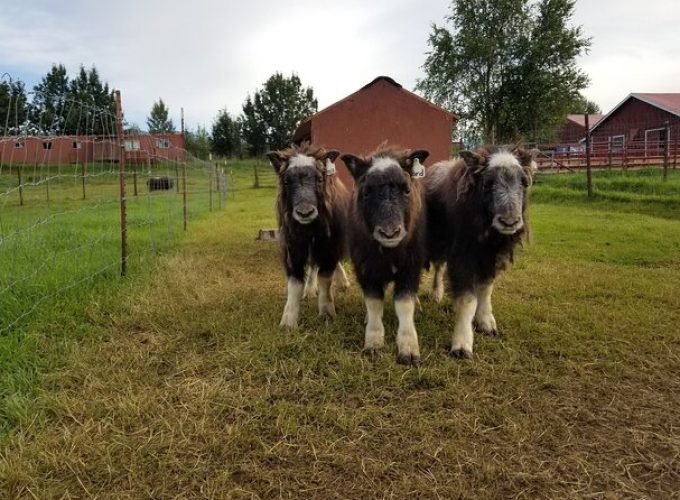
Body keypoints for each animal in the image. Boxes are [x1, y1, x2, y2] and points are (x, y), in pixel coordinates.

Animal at [266, 142, 350, 328]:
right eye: (287, 181)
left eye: (319, 179)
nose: (305, 212)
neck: (309, 229)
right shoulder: (293, 250)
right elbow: (294, 284)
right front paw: (288, 322)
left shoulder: (329, 248)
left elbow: (325, 279)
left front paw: (327, 313)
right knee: (312, 267)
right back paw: (310, 291)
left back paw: (343, 284)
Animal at [340, 145, 430, 364]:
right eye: (366, 191)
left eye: (406, 189)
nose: (390, 233)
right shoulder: (365, 269)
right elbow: (374, 303)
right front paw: (373, 343)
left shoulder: (410, 268)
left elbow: (404, 303)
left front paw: (409, 350)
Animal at [424, 146, 536, 360]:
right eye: (487, 183)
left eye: (524, 182)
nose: (509, 222)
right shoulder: (462, 258)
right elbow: (467, 299)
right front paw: (462, 345)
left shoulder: (491, 259)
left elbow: (485, 289)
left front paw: (486, 324)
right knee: (439, 267)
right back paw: (436, 295)